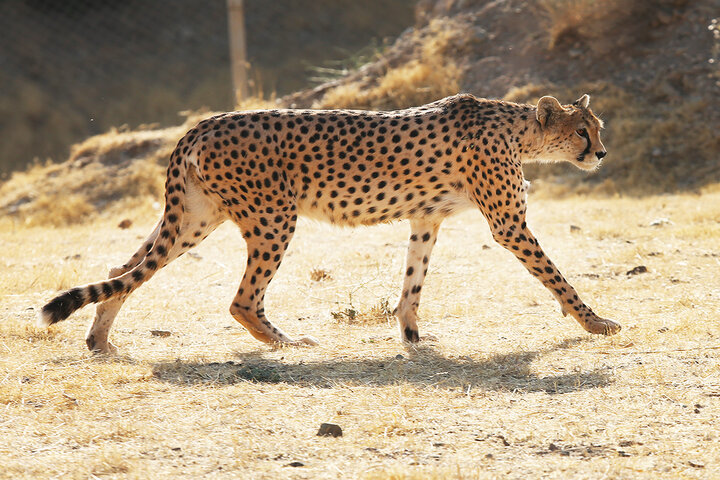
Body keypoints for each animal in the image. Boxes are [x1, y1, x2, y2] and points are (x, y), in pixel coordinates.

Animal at [42, 94, 620, 352]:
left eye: (597, 127)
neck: (519, 130)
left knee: (124, 269)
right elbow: (557, 278)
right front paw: (595, 322)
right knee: (241, 299)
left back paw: (99, 340)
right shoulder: (508, 225)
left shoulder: (426, 218)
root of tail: (203, 123)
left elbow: (413, 282)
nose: (601, 153)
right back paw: (286, 343)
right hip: (273, 217)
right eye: (582, 131)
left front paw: (411, 335)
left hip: (195, 219)